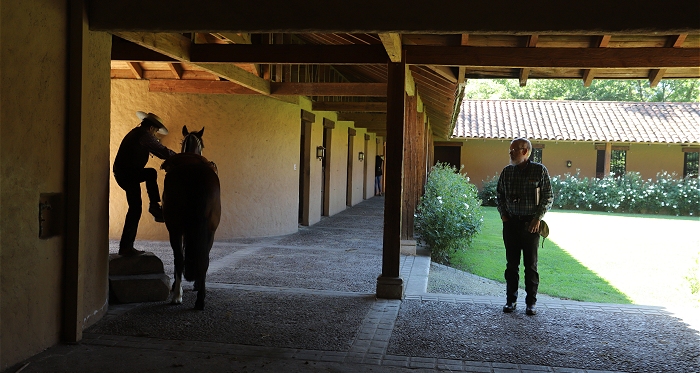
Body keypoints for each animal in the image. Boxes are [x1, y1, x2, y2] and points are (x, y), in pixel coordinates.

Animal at [162, 125, 221, 308]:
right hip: (210, 229)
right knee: (204, 257)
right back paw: (199, 299)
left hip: (174, 227)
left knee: (180, 258)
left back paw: (178, 296)